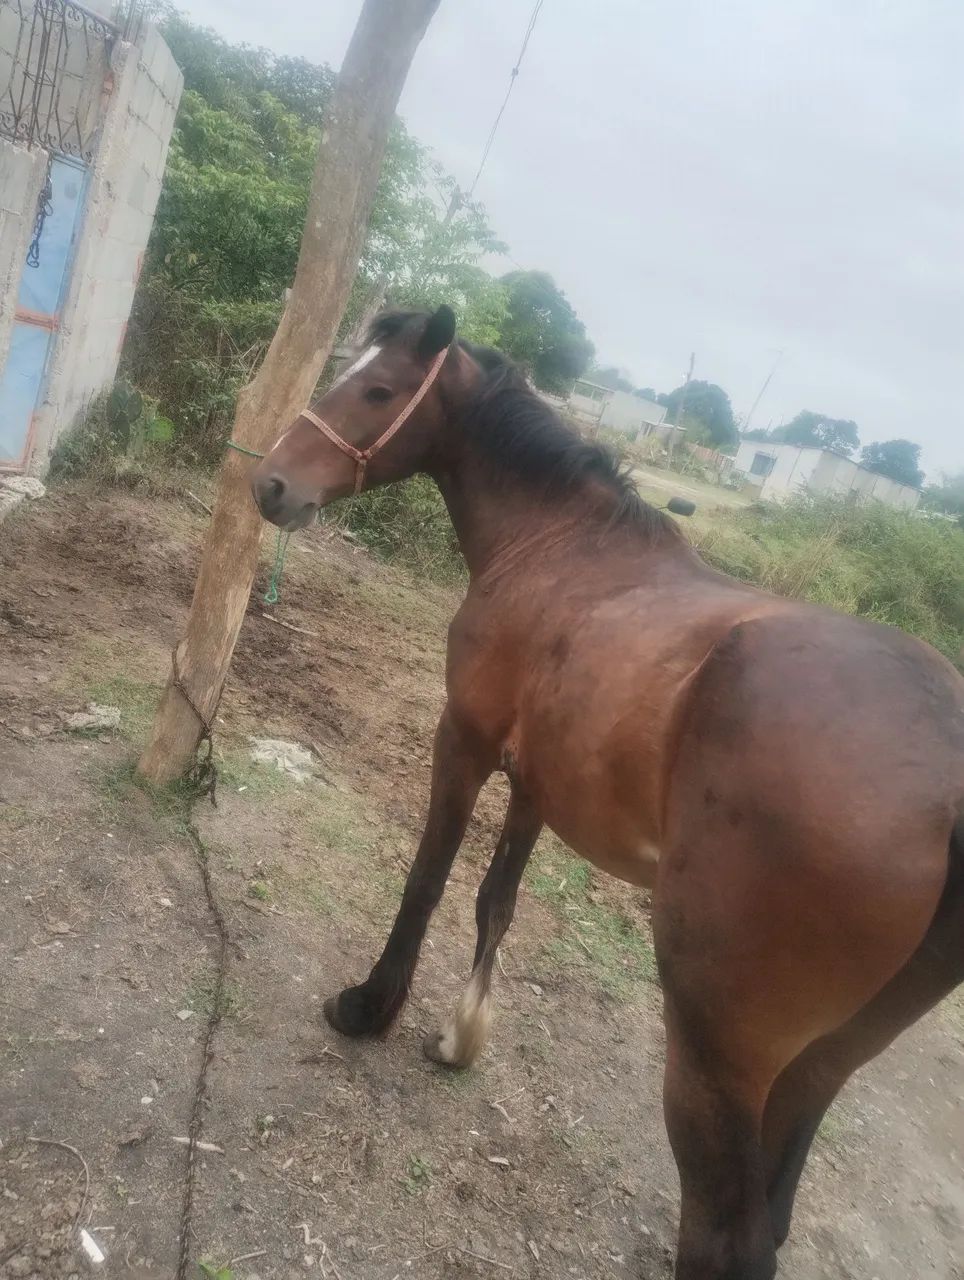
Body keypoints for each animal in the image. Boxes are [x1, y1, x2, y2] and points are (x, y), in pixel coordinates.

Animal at [250, 306, 964, 1280]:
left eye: (379, 390)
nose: (271, 485)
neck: (560, 546)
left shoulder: (464, 741)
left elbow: (427, 880)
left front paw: (371, 1007)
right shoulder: (539, 780)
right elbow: (495, 901)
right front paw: (461, 1033)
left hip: (715, 1057)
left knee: (728, 1231)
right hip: (834, 1051)